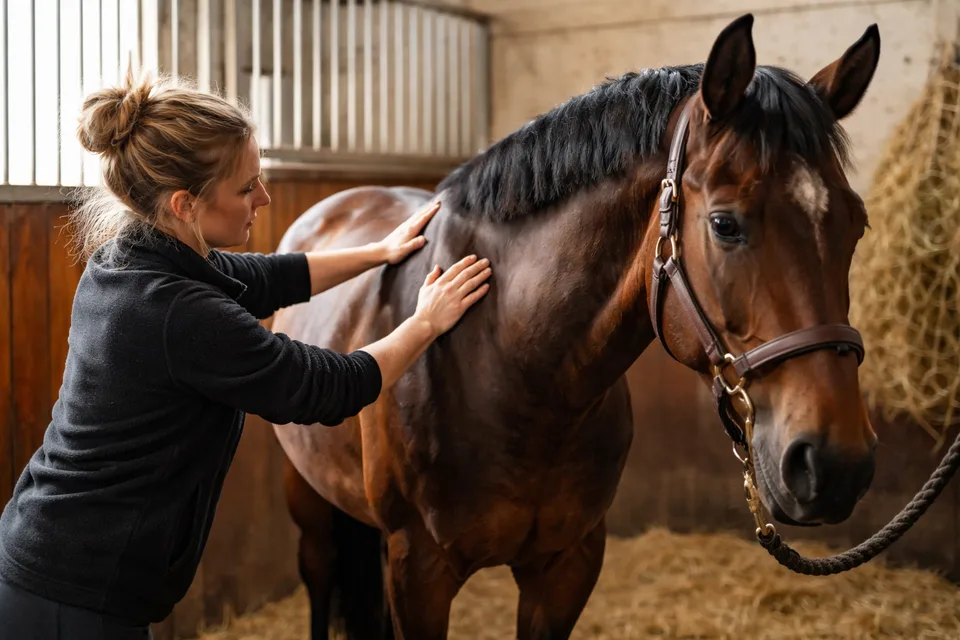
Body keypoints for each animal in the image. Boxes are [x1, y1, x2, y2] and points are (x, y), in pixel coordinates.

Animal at [270, 13, 882, 639]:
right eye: (724, 224)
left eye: (856, 224)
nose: (835, 464)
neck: (512, 366)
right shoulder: (419, 572)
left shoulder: (567, 565)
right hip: (307, 498)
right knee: (319, 573)